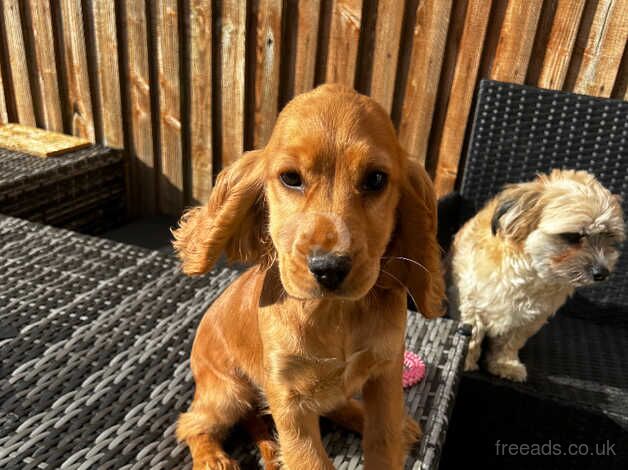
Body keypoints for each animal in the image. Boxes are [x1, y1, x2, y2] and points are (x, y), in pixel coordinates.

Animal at [174, 85, 444, 470]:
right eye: (291, 178)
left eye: (375, 179)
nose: (328, 268)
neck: (334, 314)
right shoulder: (289, 396)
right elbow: (308, 458)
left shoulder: (385, 372)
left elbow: (384, 438)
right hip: (228, 391)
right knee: (192, 422)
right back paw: (213, 459)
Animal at [452, 169, 624, 382]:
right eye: (573, 236)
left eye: (609, 237)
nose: (602, 272)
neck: (532, 273)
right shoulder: (472, 303)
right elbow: (472, 335)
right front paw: (466, 359)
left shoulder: (528, 320)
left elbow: (509, 343)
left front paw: (505, 364)